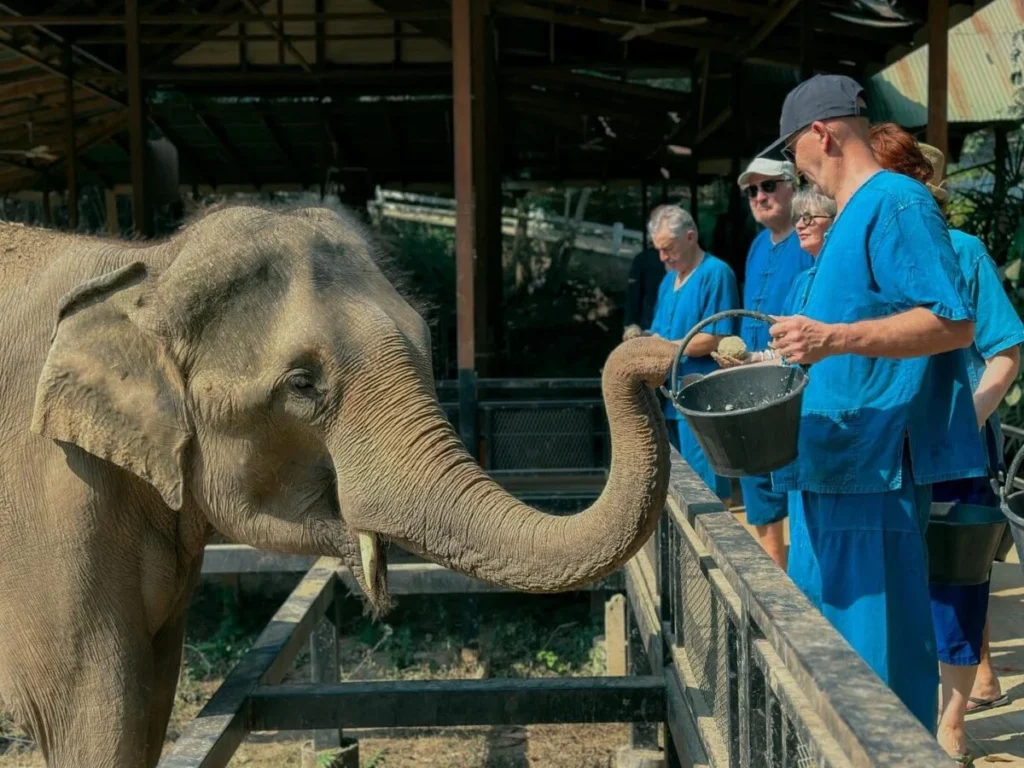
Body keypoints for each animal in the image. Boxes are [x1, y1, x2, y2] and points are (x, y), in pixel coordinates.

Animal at [0, 202, 675, 767]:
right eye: (302, 384)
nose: (661, 348)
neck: (148, 269)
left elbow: (151, 694)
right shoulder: (55, 493)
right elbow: (91, 706)